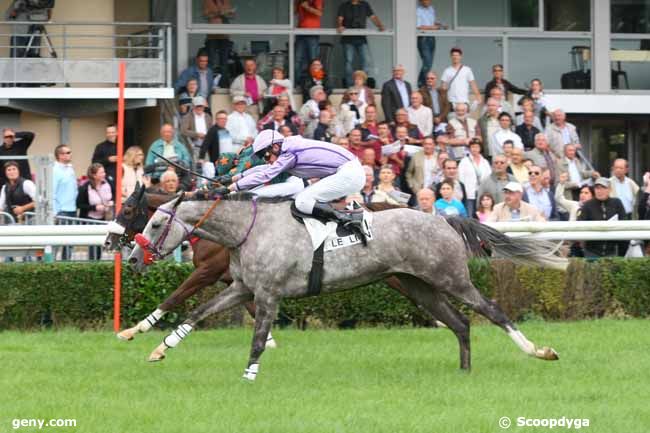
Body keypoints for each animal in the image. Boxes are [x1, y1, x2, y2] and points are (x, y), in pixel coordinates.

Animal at [129, 194, 564, 380]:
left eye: (155, 222)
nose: (132, 258)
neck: (246, 230)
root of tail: (443, 218)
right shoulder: (242, 288)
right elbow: (196, 311)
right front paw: (157, 349)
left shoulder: (268, 294)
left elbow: (258, 337)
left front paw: (249, 376)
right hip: (418, 286)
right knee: (460, 323)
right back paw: (464, 370)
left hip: (451, 278)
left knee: (494, 311)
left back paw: (540, 351)